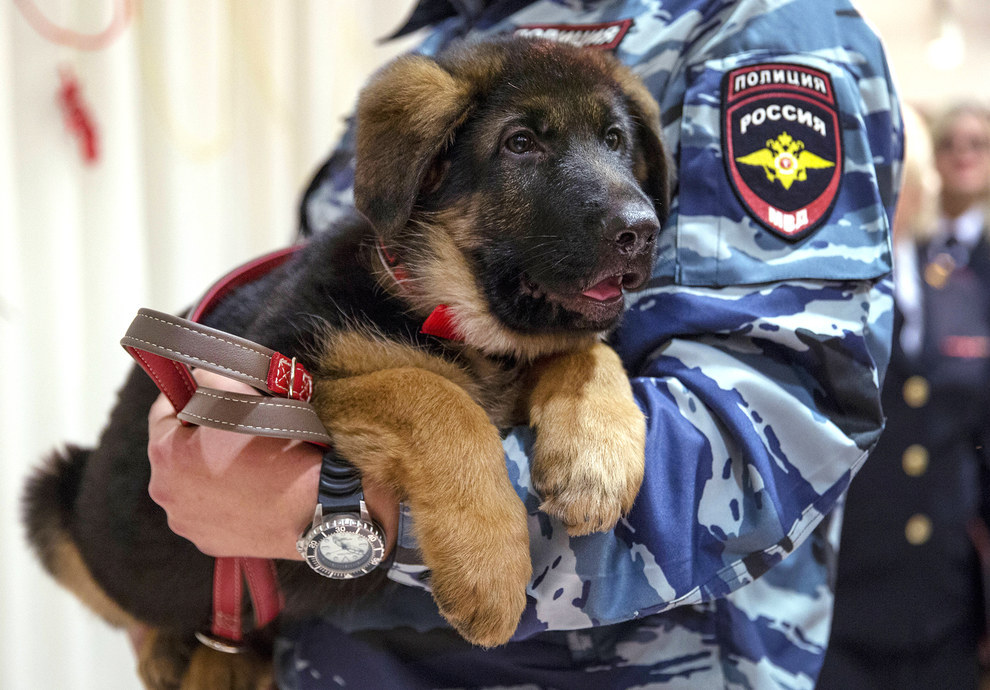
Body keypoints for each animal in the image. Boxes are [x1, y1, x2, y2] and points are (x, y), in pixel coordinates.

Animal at [23, 37, 672, 688]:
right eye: (520, 143)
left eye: (615, 141)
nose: (642, 232)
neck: (443, 307)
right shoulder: (281, 377)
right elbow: (430, 392)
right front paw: (488, 569)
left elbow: (586, 350)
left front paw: (596, 458)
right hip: (50, 501)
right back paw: (172, 649)